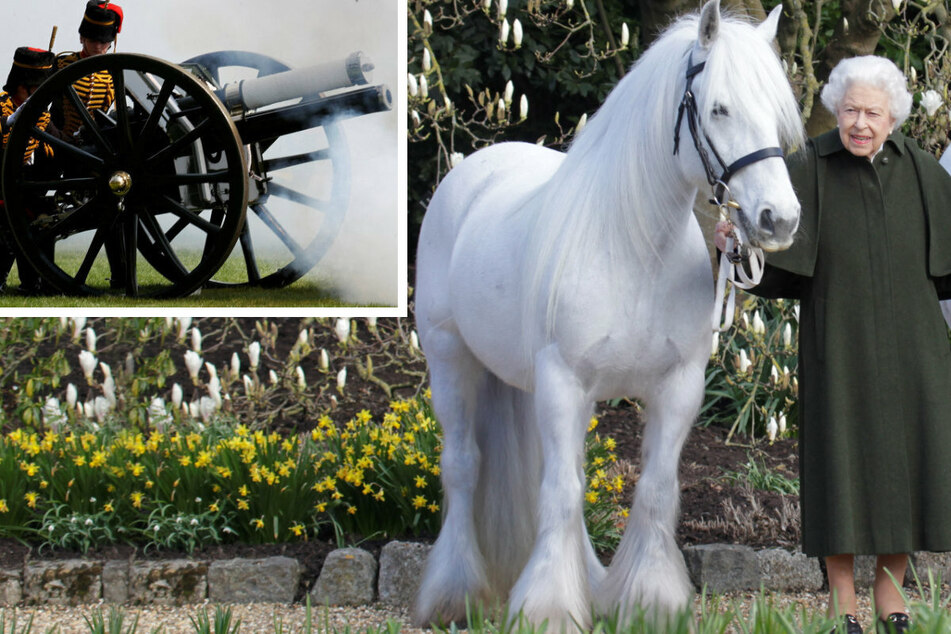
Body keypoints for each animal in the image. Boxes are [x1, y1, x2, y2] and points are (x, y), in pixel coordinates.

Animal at [413, 0, 804, 629]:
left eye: (774, 113)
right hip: (451, 360)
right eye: (719, 108)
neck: (634, 249)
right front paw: (547, 608)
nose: (780, 219)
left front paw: (650, 601)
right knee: (464, 466)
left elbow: (654, 490)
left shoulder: (678, 388)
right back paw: (454, 595)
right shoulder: (563, 383)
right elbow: (562, 493)